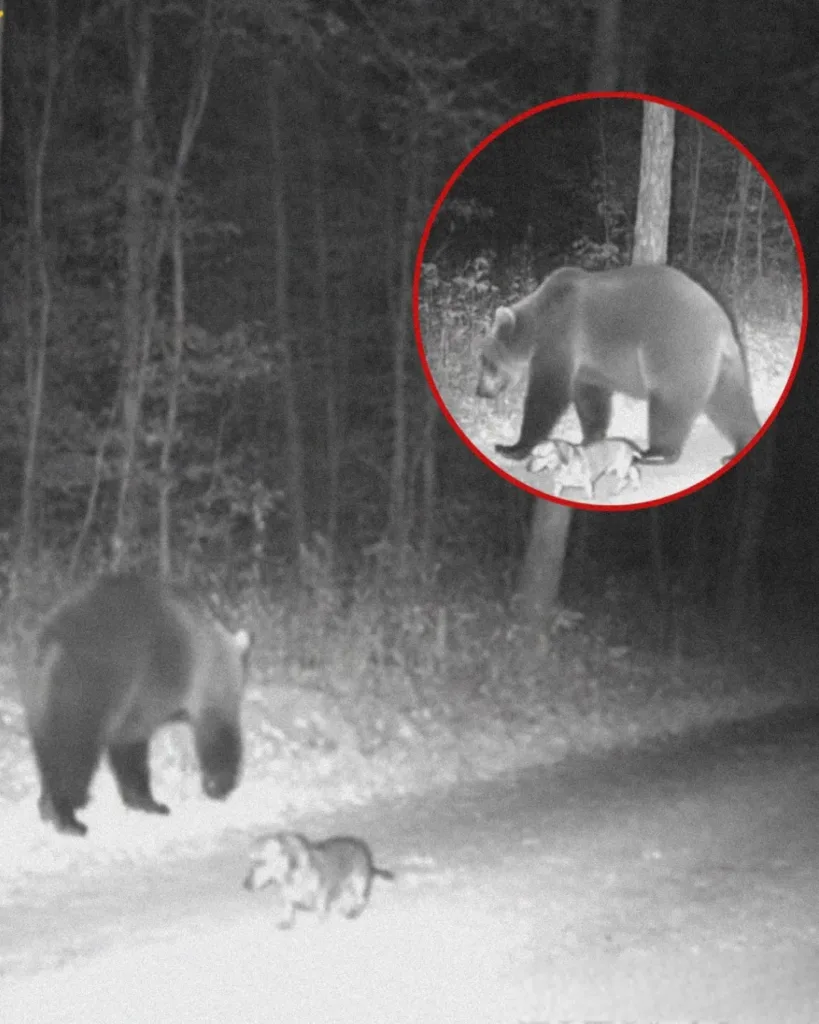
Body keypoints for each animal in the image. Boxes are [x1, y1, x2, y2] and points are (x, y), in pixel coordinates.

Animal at [19, 573, 252, 836]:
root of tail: (48, 644)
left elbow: (126, 747)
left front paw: (148, 802)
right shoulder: (183, 682)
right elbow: (215, 733)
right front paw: (217, 785)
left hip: (38, 698)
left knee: (49, 749)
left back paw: (49, 806)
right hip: (81, 689)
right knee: (73, 750)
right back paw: (68, 818)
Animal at [476, 264, 760, 466]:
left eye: (486, 360)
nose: (479, 391)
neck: (536, 323)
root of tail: (721, 323)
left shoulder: (560, 338)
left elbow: (548, 393)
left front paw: (511, 447)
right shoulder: (588, 363)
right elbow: (590, 397)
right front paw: (589, 438)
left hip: (675, 345)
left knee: (670, 399)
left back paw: (654, 453)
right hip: (724, 364)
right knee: (731, 401)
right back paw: (740, 444)